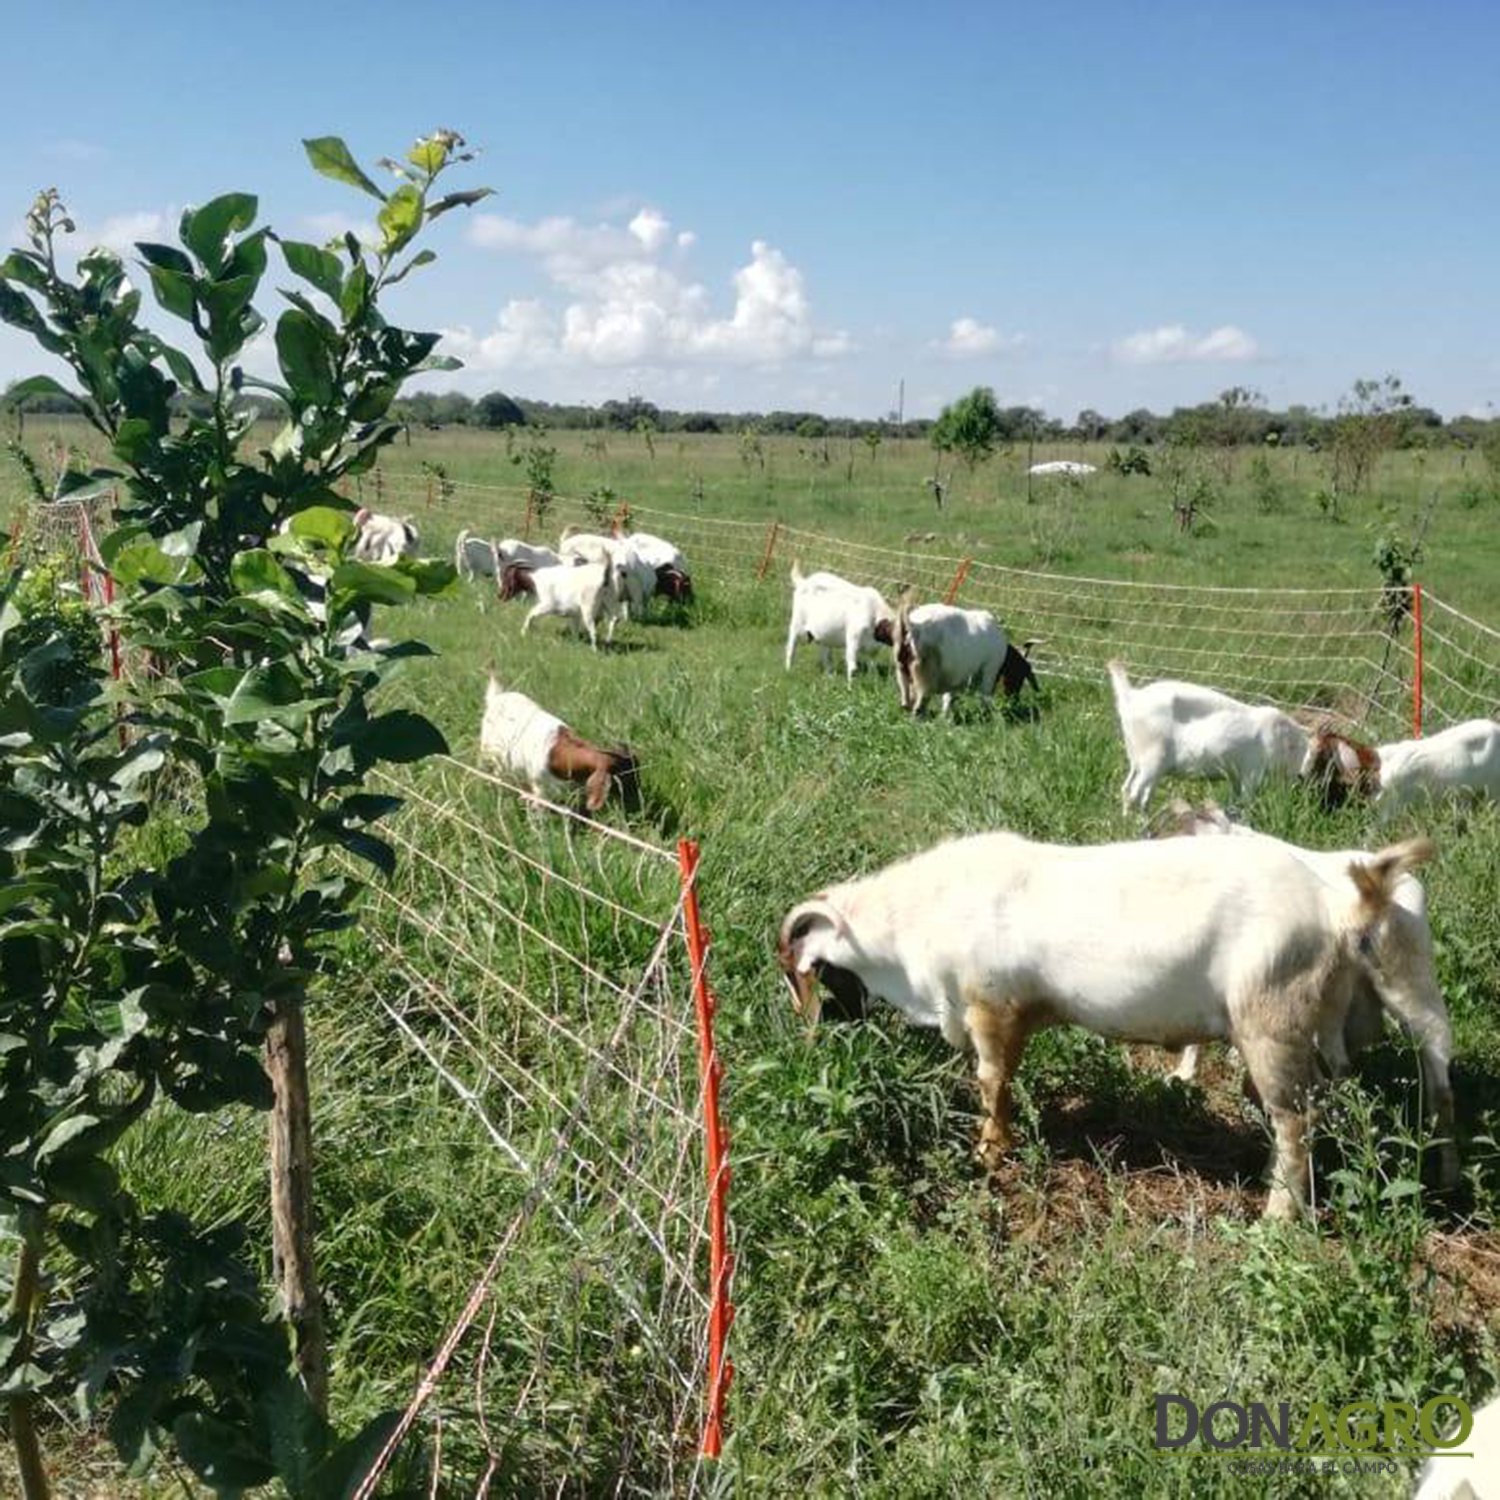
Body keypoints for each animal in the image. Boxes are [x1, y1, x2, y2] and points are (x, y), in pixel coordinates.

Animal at [894, 597, 1026, 714]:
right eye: (1019, 676)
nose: (1015, 701)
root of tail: (915, 627)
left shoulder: (956, 676)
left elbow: (948, 697)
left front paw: (945, 717)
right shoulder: (989, 672)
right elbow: (984, 698)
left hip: (903, 670)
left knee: (906, 702)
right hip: (927, 675)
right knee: (919, 706)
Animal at [1110, 663, 1308, 816]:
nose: (1302, 777)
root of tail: (1131, 697)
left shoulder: (1236, 775)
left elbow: (1236, 803)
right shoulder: (1252, 772)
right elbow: (1246, 802)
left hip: (1138, 759)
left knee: (1132, 791)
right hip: (1152, 757)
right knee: (1134, 793)